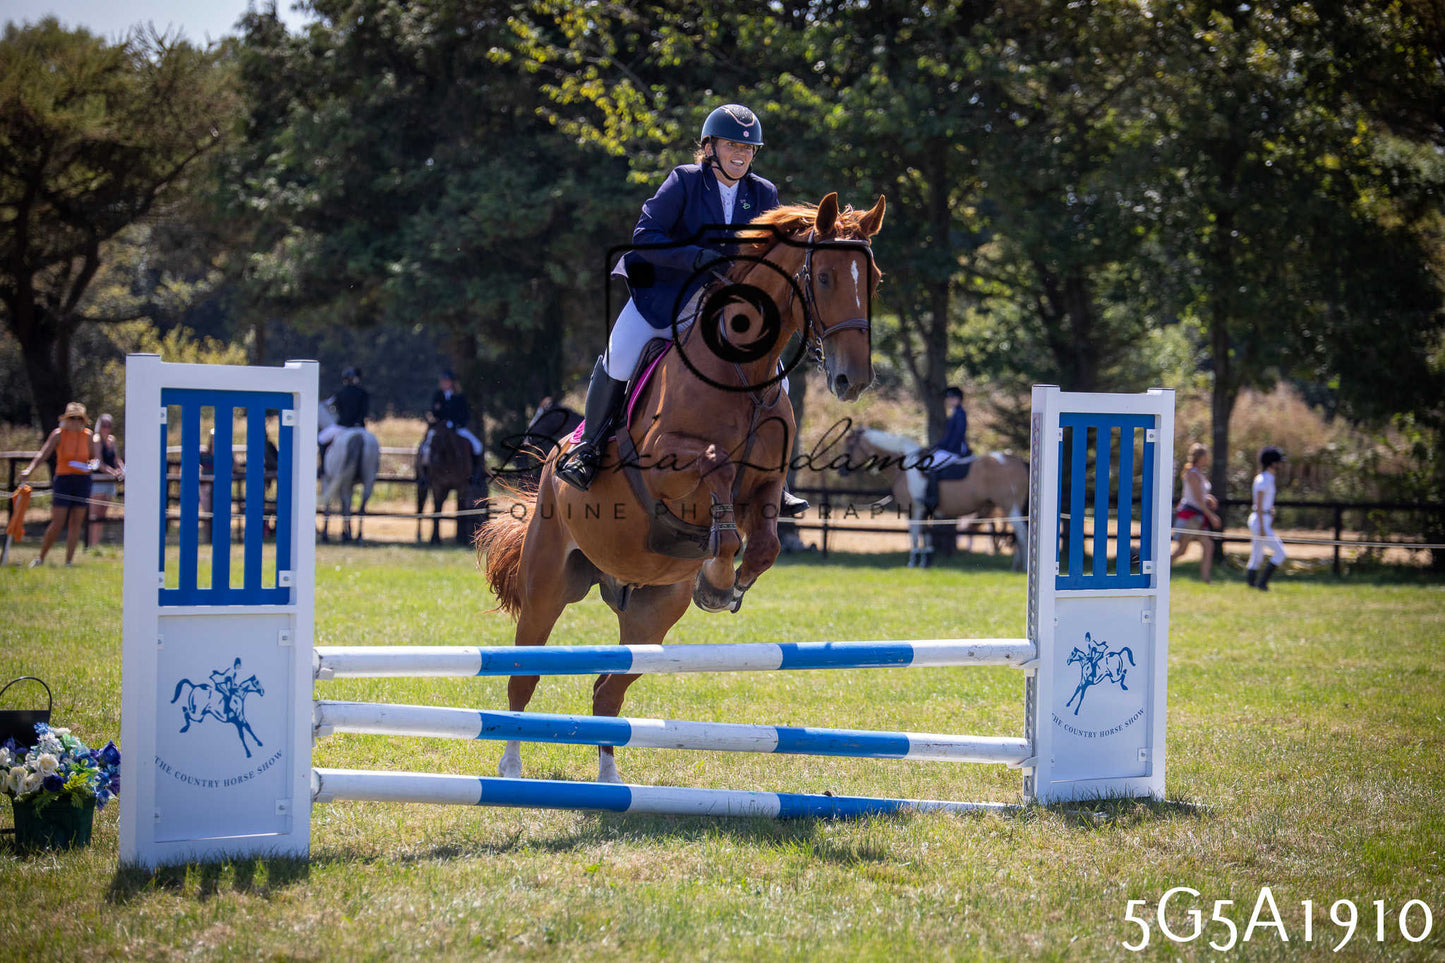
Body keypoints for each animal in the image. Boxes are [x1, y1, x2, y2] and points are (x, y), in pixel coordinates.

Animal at [318, 402, 381, 543]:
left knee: (345, 503)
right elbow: (347, 505)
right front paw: (348, 532)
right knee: (362, 506)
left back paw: (347, 535)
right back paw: (359, 536)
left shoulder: (328, 480)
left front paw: (327, 534)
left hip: (344, 481)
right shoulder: (351, 483)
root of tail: (359, 436)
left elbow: (331, 505)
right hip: (368, 480)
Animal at [476, 193, 885, 784]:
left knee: (608, 691)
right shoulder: (667, 466)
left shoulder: (765, 485)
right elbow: (715, 475)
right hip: (547, 586)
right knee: (521, 677)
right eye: (825, 276)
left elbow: (763, 543)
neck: (741, 375)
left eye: (872, 279)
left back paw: (610, 781)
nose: (852, 381)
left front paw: (723, 586)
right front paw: (717, 573)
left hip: (652, 613)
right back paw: (510, 767)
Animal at [843, 427, 1030, 570]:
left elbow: (915, 534)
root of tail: (1020, 461)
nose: (841, 471)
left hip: (1010, 508)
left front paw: (913, 562)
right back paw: (1017, 567)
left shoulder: (914, 509)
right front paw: (926, 561)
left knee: (1022, 534)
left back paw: (1023, 568)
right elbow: (926, 534)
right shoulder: (925, 510)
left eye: (850, 445)